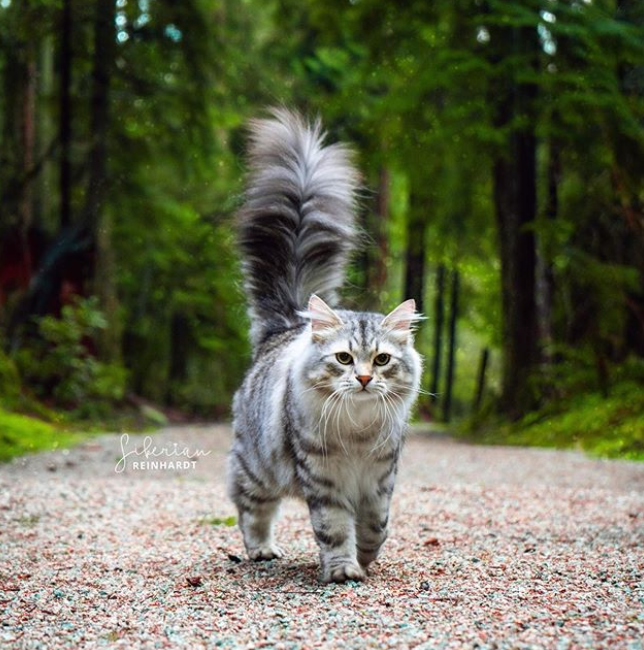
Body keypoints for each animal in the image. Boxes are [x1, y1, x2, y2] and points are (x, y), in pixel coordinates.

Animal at [226, 107, 422, 584]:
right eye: (345, 358)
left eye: (382, 359)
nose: (365, 378)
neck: (357, 431)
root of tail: (285, 326)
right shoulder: (323, 479)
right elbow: (334, 528)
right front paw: (343, 570)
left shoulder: (379, 481)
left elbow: (375, 526)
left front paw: (366, 559)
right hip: (256, 468)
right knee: (251, 511)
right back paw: (261, 551)